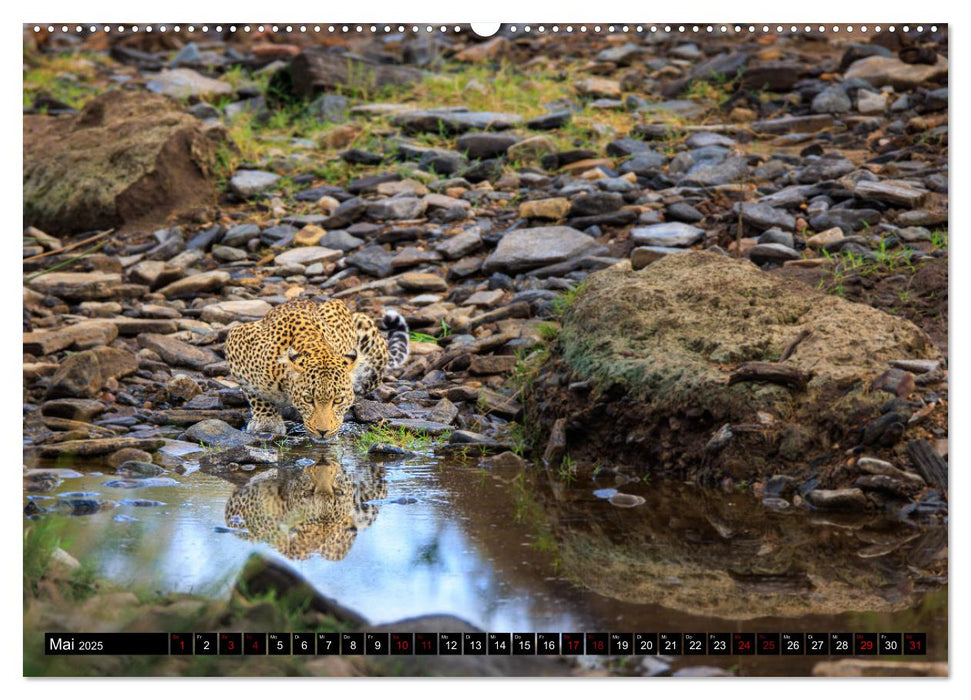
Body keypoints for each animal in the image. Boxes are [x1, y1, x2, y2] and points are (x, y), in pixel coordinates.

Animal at [225, 298, 410, 440]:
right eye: (308, 399)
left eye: (338, 400)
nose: (323, 432)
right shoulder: (237, 339)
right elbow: (256, 394)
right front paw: (267, 422)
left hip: (366, 329)